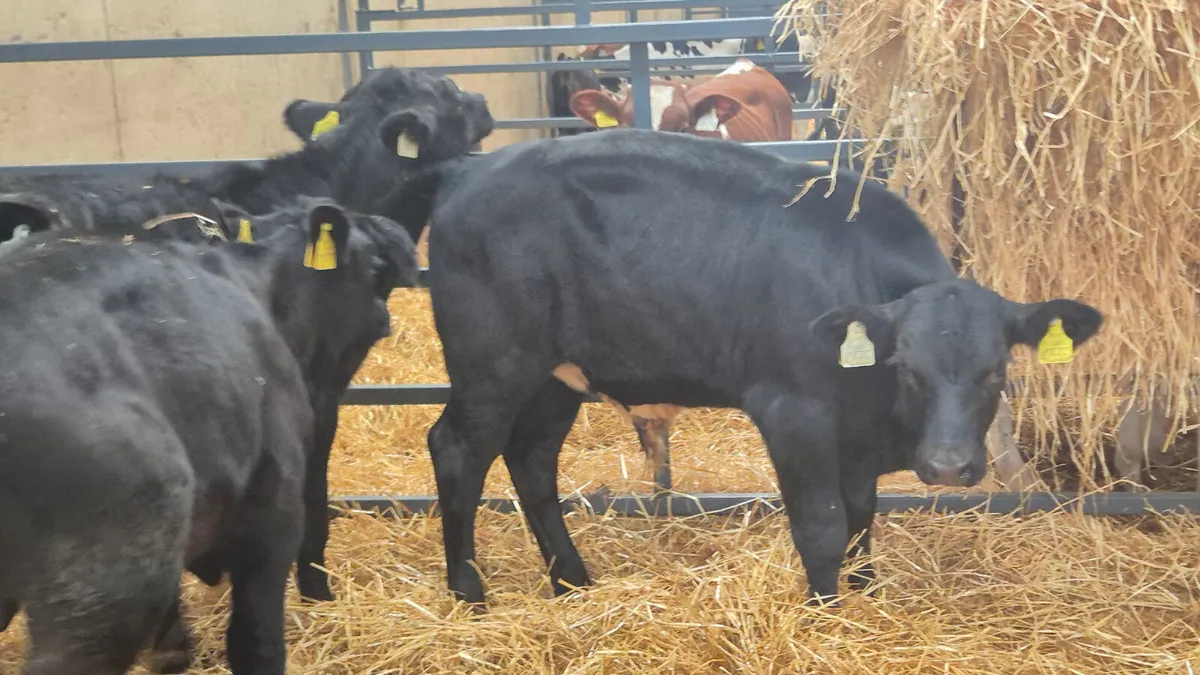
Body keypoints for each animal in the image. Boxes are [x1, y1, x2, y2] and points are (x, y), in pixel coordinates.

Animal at [375, 127, 1103, 607]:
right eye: (910, 367)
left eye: (995, 371)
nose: (950, 466)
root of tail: (468, 169)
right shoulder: (793, 411)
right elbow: (823, 527)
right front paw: (827, 613)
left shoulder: (855, 439)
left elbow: (863, 520)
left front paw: (865, 599)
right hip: (493, 362)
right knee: (458, 449)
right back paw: (469, 590)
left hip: (557, 375)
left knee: (531, 460)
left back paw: (571, 580)